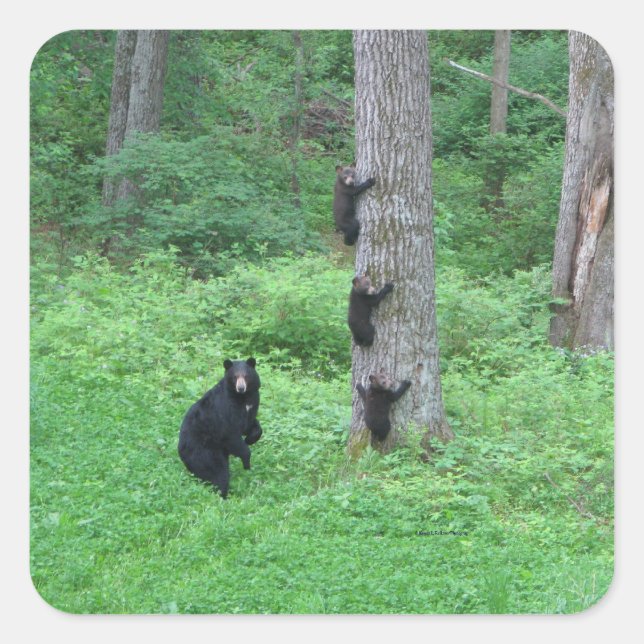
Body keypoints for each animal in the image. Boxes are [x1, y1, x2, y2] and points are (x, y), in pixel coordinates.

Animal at [178, 358, 262, 498]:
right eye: (235, 376)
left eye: (246, 375)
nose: (241, 388)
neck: (241, 398)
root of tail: (181, 452)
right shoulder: (225, 410)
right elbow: (230, 433)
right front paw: (246, 461)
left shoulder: (252, 403)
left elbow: (250, 425)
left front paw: (250, 439)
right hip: (205, 452)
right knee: (218, 473)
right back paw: (223, 495)